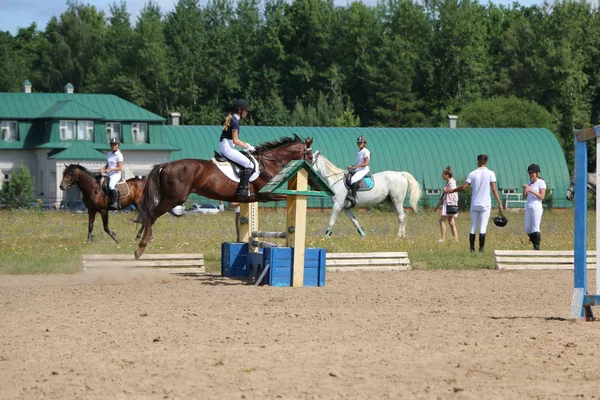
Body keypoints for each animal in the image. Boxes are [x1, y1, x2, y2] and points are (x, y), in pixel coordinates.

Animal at [135, 136, 314, 258]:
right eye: (311, 157)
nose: (312, 180)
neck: (270, 163)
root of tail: (167, 165)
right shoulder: (268, 194)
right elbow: (286, 198)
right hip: (174, 199)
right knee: (152, 215)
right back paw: (141, 247)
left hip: (171, 198)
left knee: (149, 214)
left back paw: (141, 239)